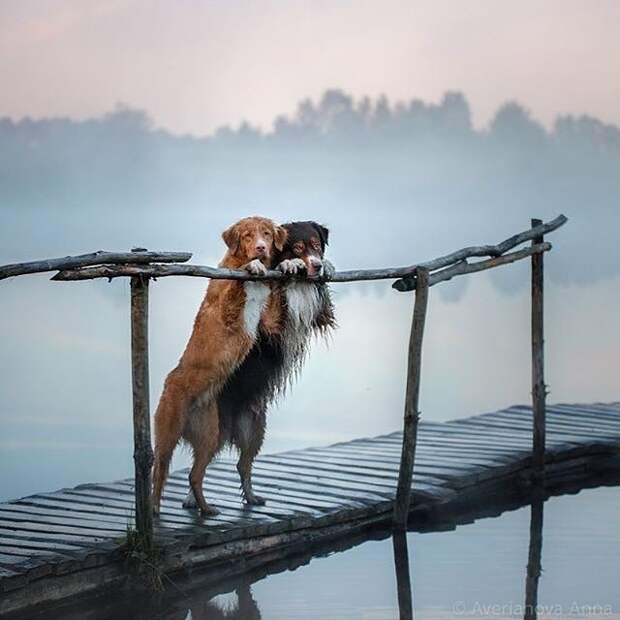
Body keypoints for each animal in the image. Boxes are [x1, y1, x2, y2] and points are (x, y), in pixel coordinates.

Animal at [151, 216, 286, 516]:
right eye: (247, 236)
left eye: (267, 234)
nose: (261, 248)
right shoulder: (228, 312)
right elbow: (235, 286)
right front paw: (253, 266)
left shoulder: (270, 323)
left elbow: (276, 300)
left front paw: (288, 265)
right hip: (168, 432)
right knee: (159, 470)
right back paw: (154, 508)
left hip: (209, 434)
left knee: (195, 475)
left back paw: (207, 508)